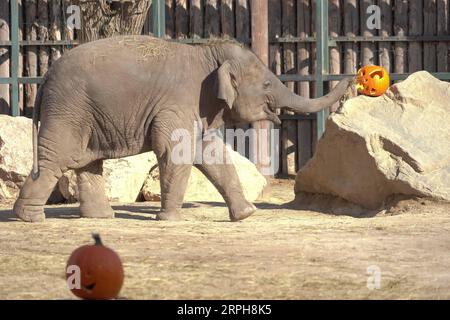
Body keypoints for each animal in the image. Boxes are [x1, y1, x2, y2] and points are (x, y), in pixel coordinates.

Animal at [13, 34, 352, 220]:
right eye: (268, 83)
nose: (351, 76)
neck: (207, 53)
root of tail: (44, 78)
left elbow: (212, 155)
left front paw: (246, 215)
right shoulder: (179, 102)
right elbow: (174, 151)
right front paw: (168, 219)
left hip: (90, 114)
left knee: (87, 161)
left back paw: (101, 217)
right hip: (68, 109)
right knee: (57, 158)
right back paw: (29, 218)